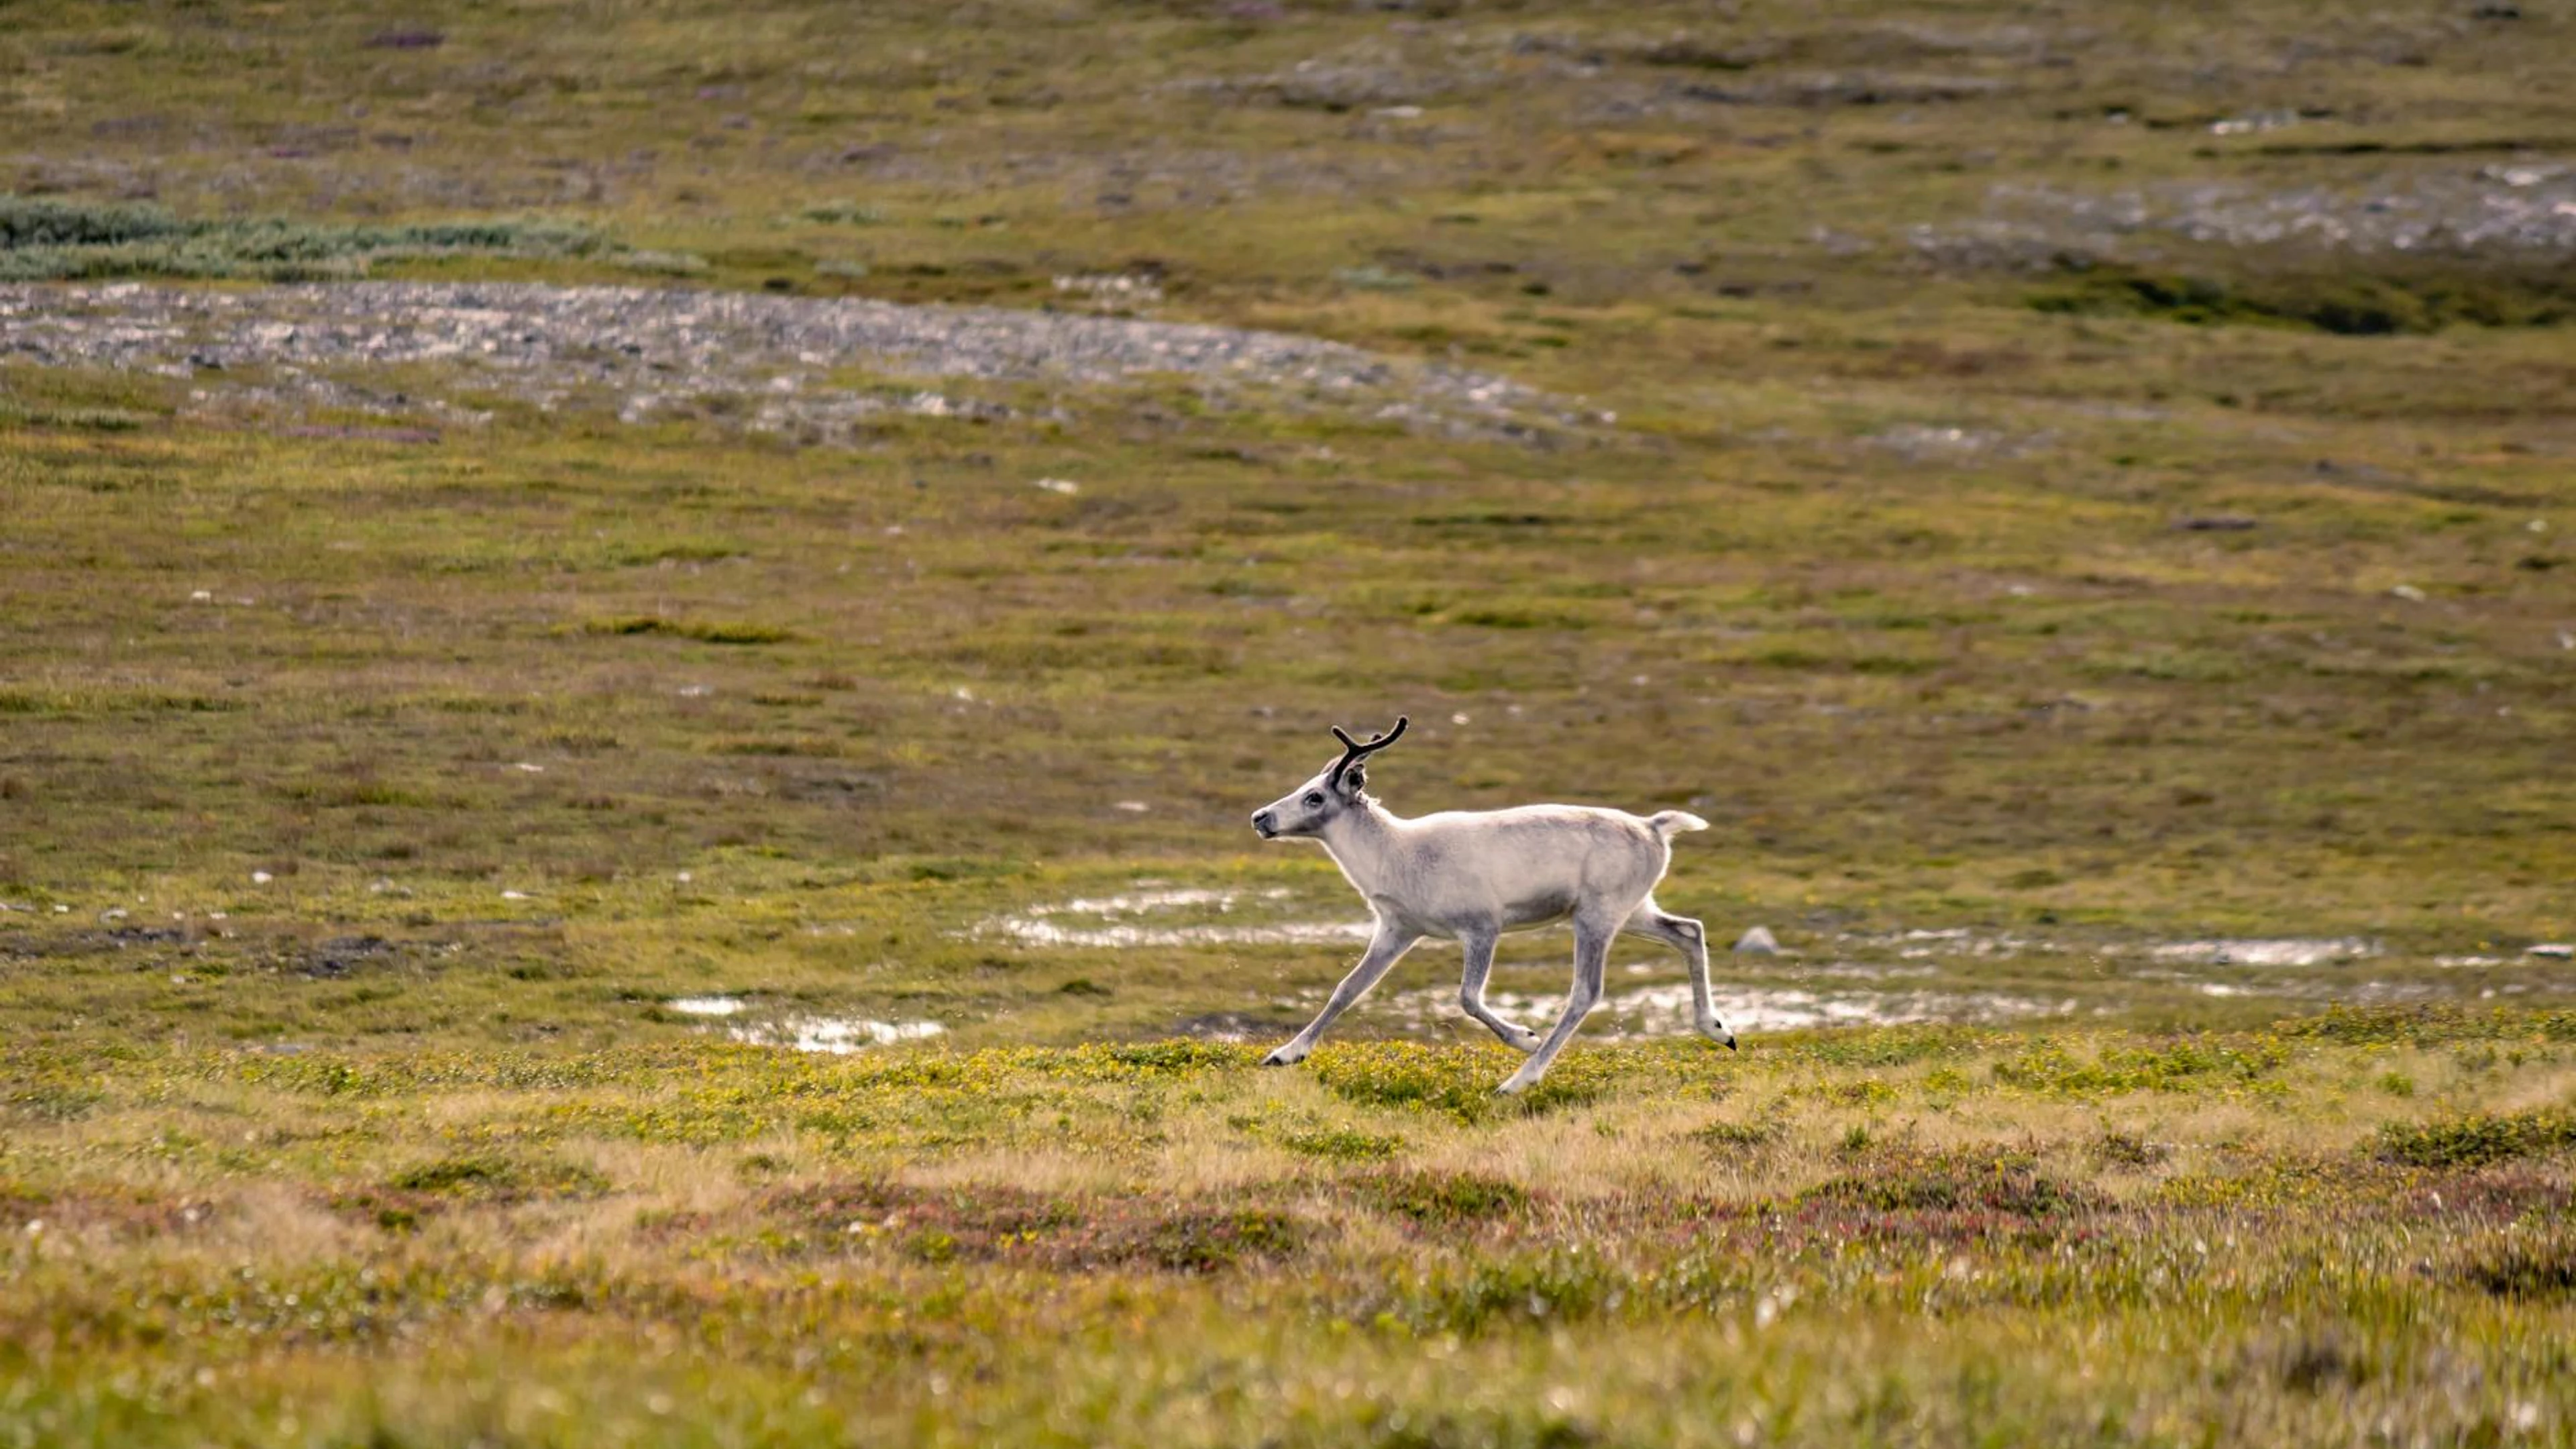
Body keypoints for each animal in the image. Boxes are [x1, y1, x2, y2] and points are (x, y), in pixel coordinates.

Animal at [1249, 716, 1734, 1094]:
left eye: (1315, 796)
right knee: (1689, 930)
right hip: (1633, 912)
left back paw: (1520, 1079)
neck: (1397, 852)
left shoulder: (1483, 927)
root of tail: (1654, 827)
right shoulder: (1398, 929)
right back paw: (1719, 1030)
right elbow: (1347, 988)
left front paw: (1525, 1036)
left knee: (1585, 991)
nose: (1260, 817)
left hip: (1597, 917)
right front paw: (1284, 1054)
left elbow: (1466, 996)